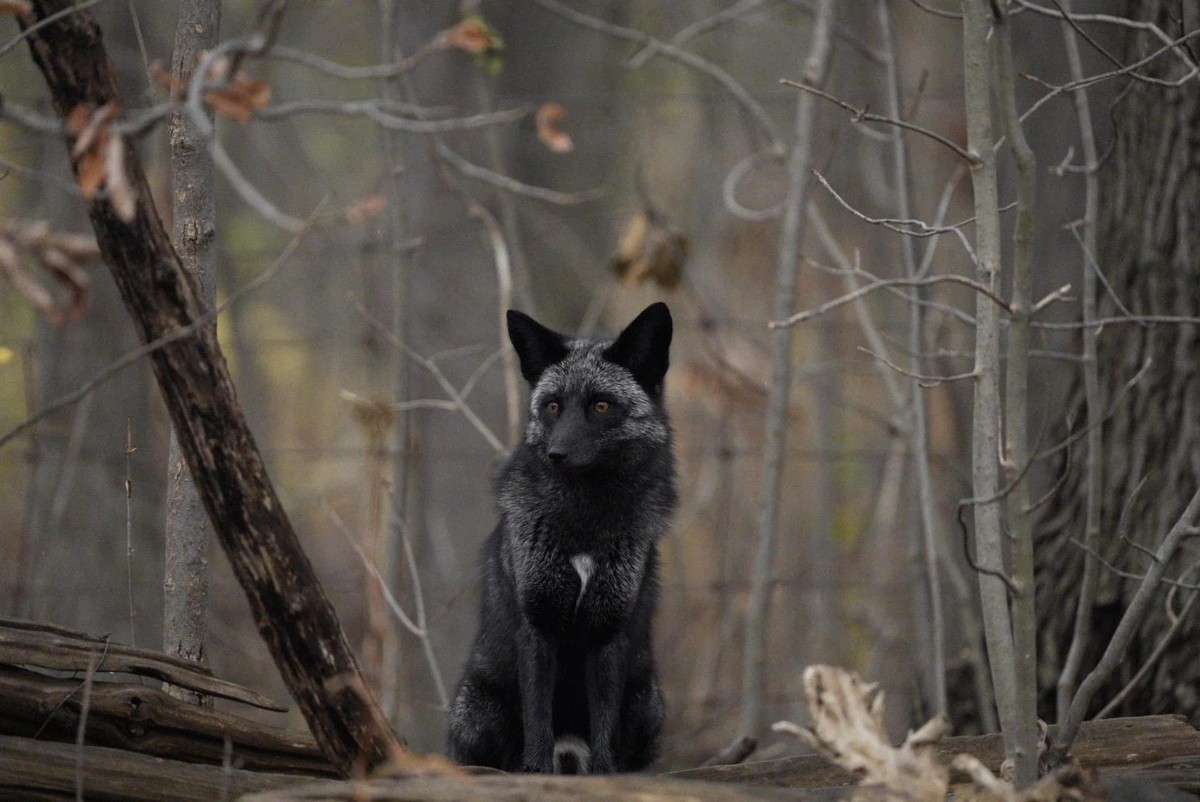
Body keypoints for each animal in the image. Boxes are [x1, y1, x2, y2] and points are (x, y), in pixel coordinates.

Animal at [446, 302, 676, 775]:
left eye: (601, 406)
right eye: (552, 406)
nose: (557, 454)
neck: (584, 524)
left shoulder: (608, 633)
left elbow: (604, 722)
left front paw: (605, 775)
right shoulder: (538, 626)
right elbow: (538, 717)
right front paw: (536, 772)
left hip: (648, 702)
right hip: (478, 709)